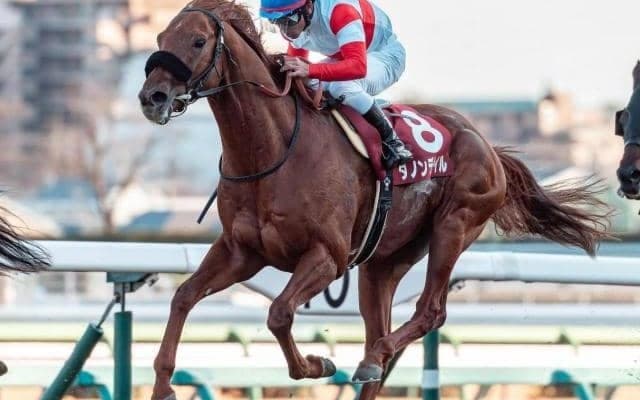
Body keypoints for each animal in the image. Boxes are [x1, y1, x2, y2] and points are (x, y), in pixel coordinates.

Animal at [138, 2, 610, 399]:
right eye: (161, 37)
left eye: (198, 42)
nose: (151, 98)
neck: (272, 150)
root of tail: (488, 145)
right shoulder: (242, 251)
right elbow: (183, 296)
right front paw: (163, 385)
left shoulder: (327, 256)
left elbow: (279, 313)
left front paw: (317, 363)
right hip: (383, 262)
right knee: (379, 335)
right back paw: (372, 360)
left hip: (454, 224)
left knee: (426, 315)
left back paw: (374, 356)